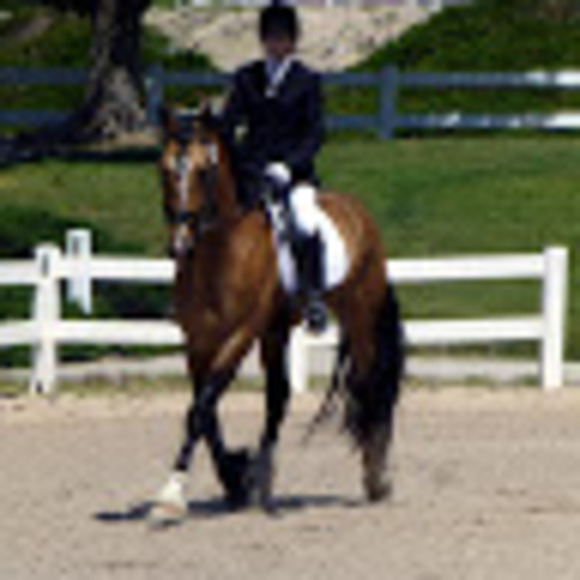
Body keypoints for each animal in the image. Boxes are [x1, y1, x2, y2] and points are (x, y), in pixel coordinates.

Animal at [148, 105, 404, 525]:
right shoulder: (198, 341)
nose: (180, 245)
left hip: (360, 316)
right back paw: (264, 481)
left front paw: (170, 495)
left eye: (203, 171)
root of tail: (358, 211)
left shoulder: (239, 335)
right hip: (276, 331)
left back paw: (376, 477)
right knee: (277, 397)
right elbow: (205, 410)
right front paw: (235, 479)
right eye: (164, 169)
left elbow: (200, 409)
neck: (220, 252)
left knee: (369, 385)